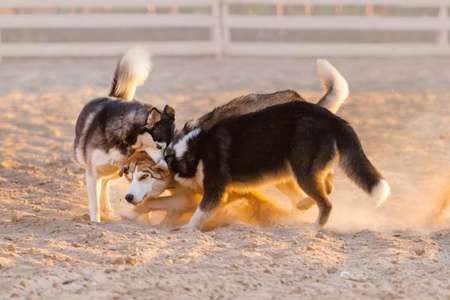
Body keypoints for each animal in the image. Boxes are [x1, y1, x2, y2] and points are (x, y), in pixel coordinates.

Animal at [73, 45, 175, 221]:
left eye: (168, 147)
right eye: (158, 146)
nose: (165, 165)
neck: (124, 135)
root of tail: (114, 95)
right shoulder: (92, 172)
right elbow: (94, 203)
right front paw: (95, 221)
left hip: (118, 170)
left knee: (106, 181)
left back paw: (106, 207)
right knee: (103, 181)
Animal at [169, 101, 390, 230]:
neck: (194, 150)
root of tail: (334, 119)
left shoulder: (215, 188)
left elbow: (201, 212)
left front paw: (186, 228)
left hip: (302, 168)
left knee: (326, 202)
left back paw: (313, 228)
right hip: (307, 168)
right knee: (327, 188)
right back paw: (303, 205)